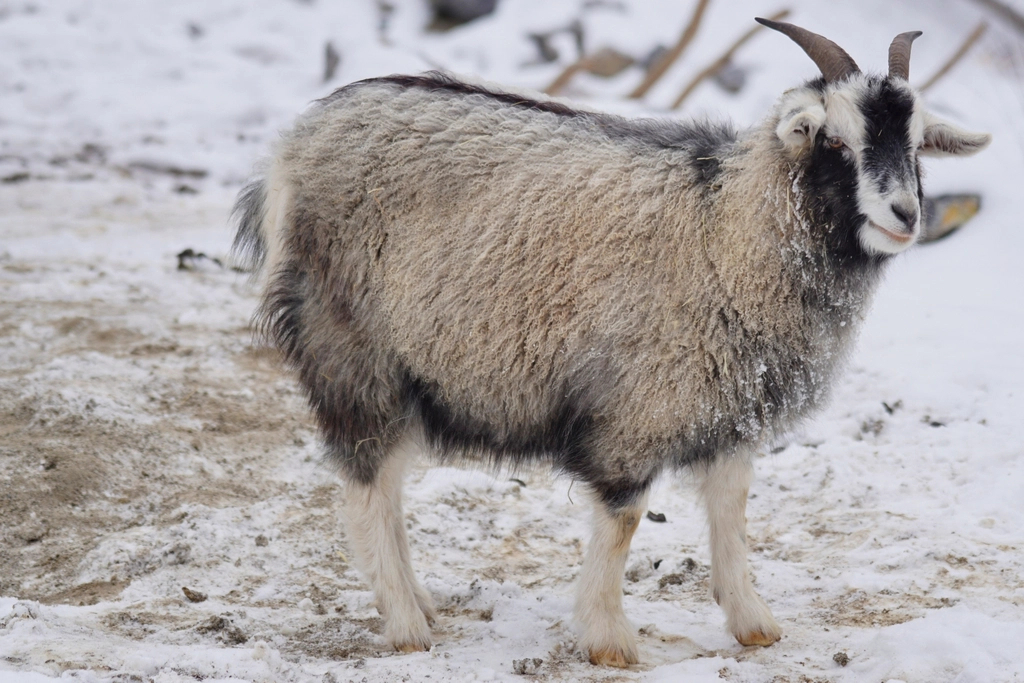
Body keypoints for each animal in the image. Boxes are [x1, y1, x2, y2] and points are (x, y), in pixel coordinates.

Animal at [232, 19, 990, 666]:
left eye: (916, 144)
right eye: (835, 141)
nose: (905, 214)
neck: (726, 227)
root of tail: (290, 149)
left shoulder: (730, 404)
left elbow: (732, 510)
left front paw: (754, 623)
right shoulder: (639, 406)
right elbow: (623, 519)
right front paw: (608, 639)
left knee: (384, 485)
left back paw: (419, 604)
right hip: (354, 352)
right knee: (366, 485)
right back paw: (405, 624)